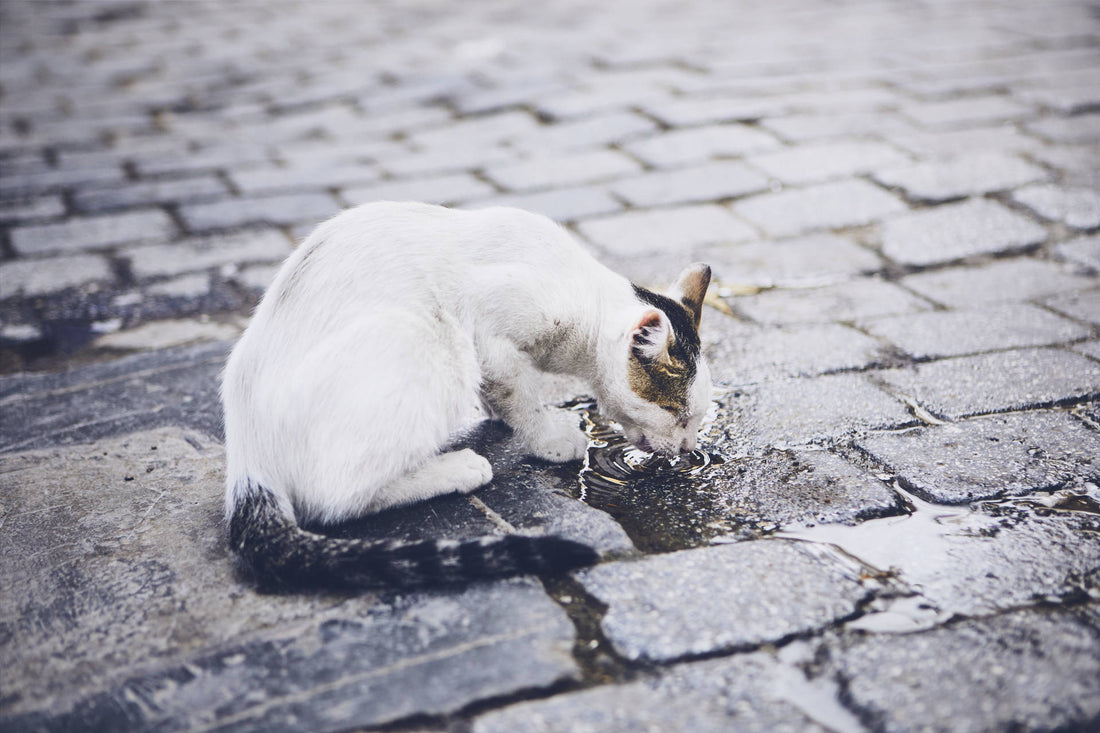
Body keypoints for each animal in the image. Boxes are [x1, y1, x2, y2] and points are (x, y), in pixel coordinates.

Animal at [221, 200, 712, 589]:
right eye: (676, 412)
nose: (689, 448)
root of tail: (247, 459)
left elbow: (497, 391)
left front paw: (496, 414)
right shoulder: (486, 328)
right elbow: (517, 391)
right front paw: (548, 438)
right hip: (427, 338)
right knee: (336, 498)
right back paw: (456, 468)